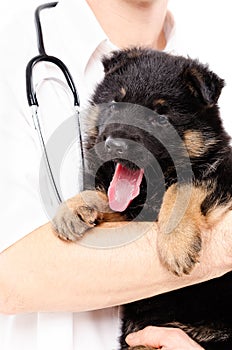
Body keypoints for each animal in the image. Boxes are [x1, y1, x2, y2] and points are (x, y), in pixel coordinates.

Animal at [53, 49, 232, 350]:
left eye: (160, 117)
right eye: (115, 103)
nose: (115, 145)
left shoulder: (223, 175)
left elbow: (183, 185)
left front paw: (176, 243)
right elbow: (107, 198)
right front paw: (74, 207)